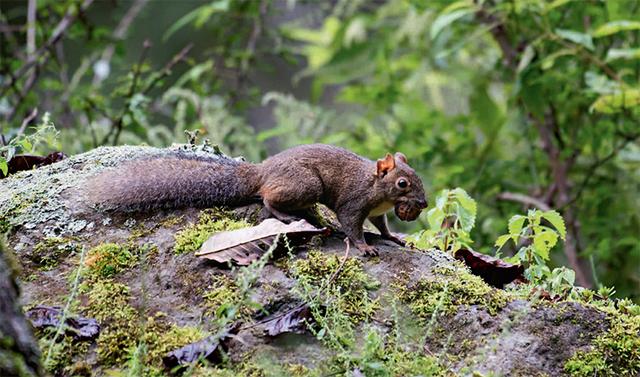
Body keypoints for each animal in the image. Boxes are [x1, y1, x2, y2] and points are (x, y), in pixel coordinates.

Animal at [85, 143, 424, 256]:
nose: (422, 204)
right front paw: (365, 247)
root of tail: (263, 171)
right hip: (306, 185)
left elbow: (382, 225)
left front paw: (394, 238)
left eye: (417, 176)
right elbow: (352, 226)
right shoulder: (353, 202)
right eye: (402, 183)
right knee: (267, 199)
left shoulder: (377, 211)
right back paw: (286, 217)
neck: (375, 185)